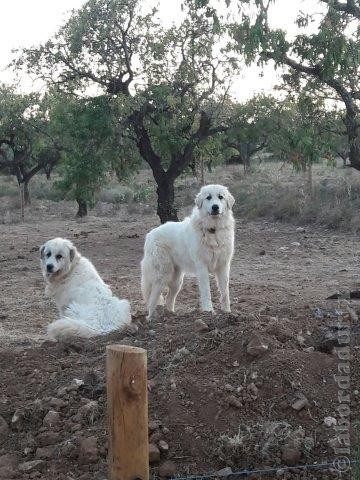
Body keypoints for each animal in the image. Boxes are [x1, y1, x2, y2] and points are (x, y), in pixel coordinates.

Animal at [141, 184, 236, 318]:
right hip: (161, 276)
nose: (215, 207)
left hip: (177, 281)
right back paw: (151, 319)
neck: (213, 230)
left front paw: (227, 312)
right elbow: (206, 292)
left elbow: (225, 292)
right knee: (152, 299)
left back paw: (171, 315)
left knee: (169, 299)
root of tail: (150, 234)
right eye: (208, 197)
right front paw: (209, 311)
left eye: (220, 197)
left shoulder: (223, 266)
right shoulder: (202, 267)